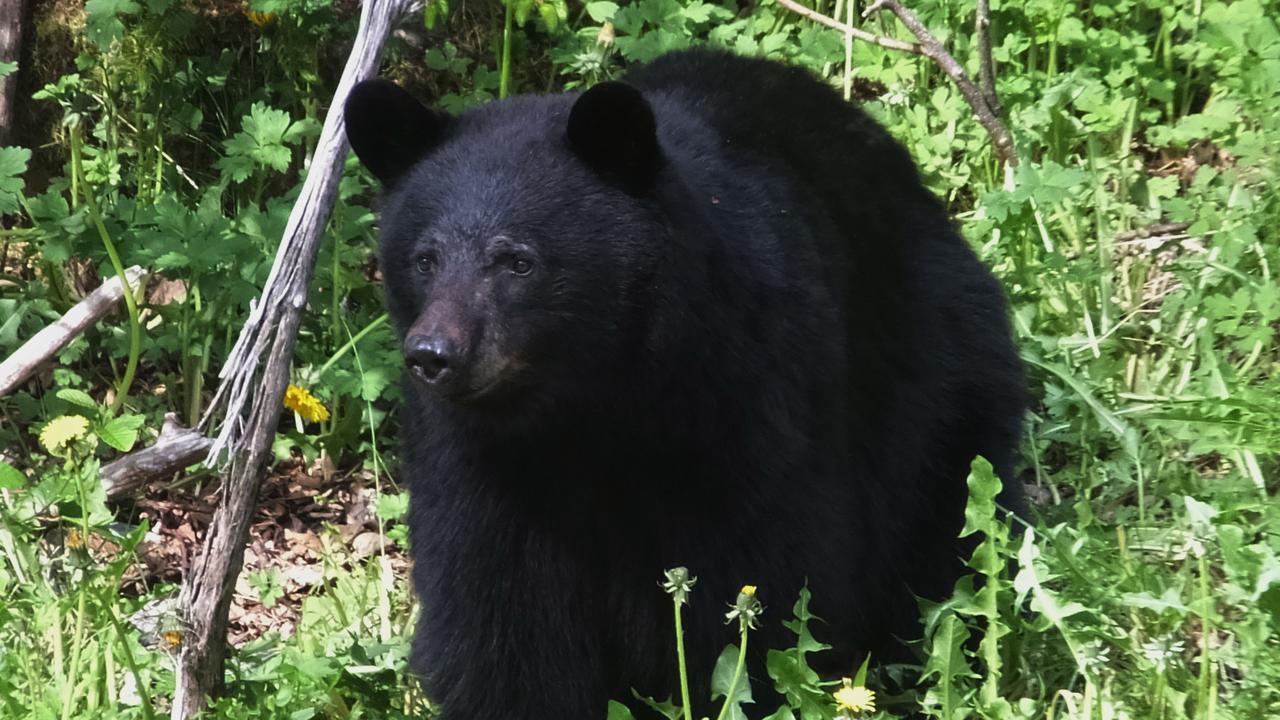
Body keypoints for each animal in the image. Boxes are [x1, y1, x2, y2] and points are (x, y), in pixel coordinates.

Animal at [343, 48, 1024, 720]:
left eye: (518, 261)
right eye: (425, 259)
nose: (434, 355)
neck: (590, 400)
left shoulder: (743, 405)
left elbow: (760, 582)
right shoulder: (480, 458)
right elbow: (499, 601)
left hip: (940, 373)